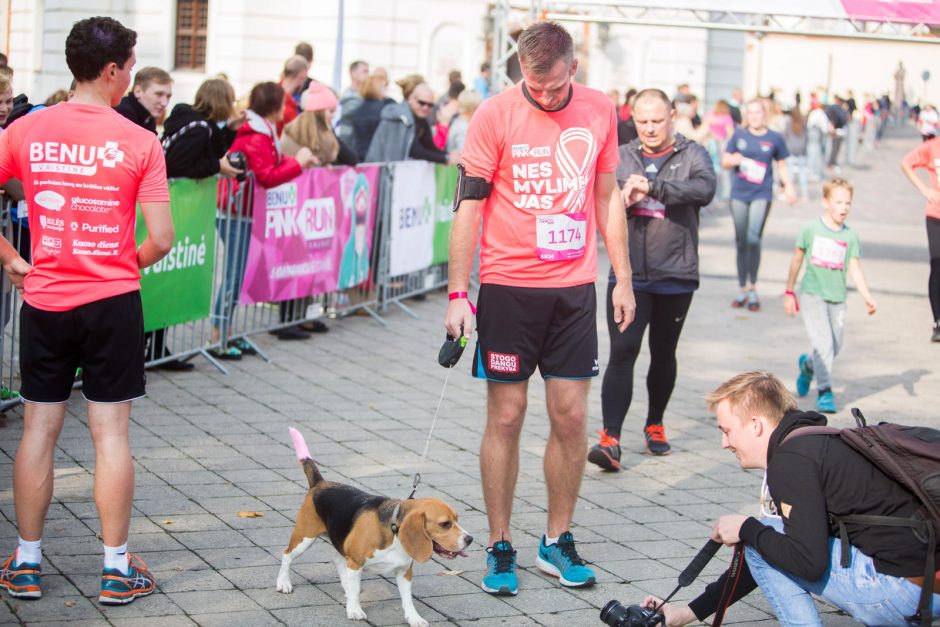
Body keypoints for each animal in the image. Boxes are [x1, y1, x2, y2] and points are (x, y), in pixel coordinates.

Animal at [276, 430, 474, 624]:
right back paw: (284, 583)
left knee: (338, 560)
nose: (470, 539)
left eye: (457, 519)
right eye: (445, 524)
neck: (394, 532)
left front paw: (414, 618)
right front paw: (354, 610)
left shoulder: (404, 571)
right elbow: (355, 591)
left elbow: (407, 599)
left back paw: (346, 587)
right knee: (287, 555)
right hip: (304, 538)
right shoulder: (356, 563)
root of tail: (320, 483)